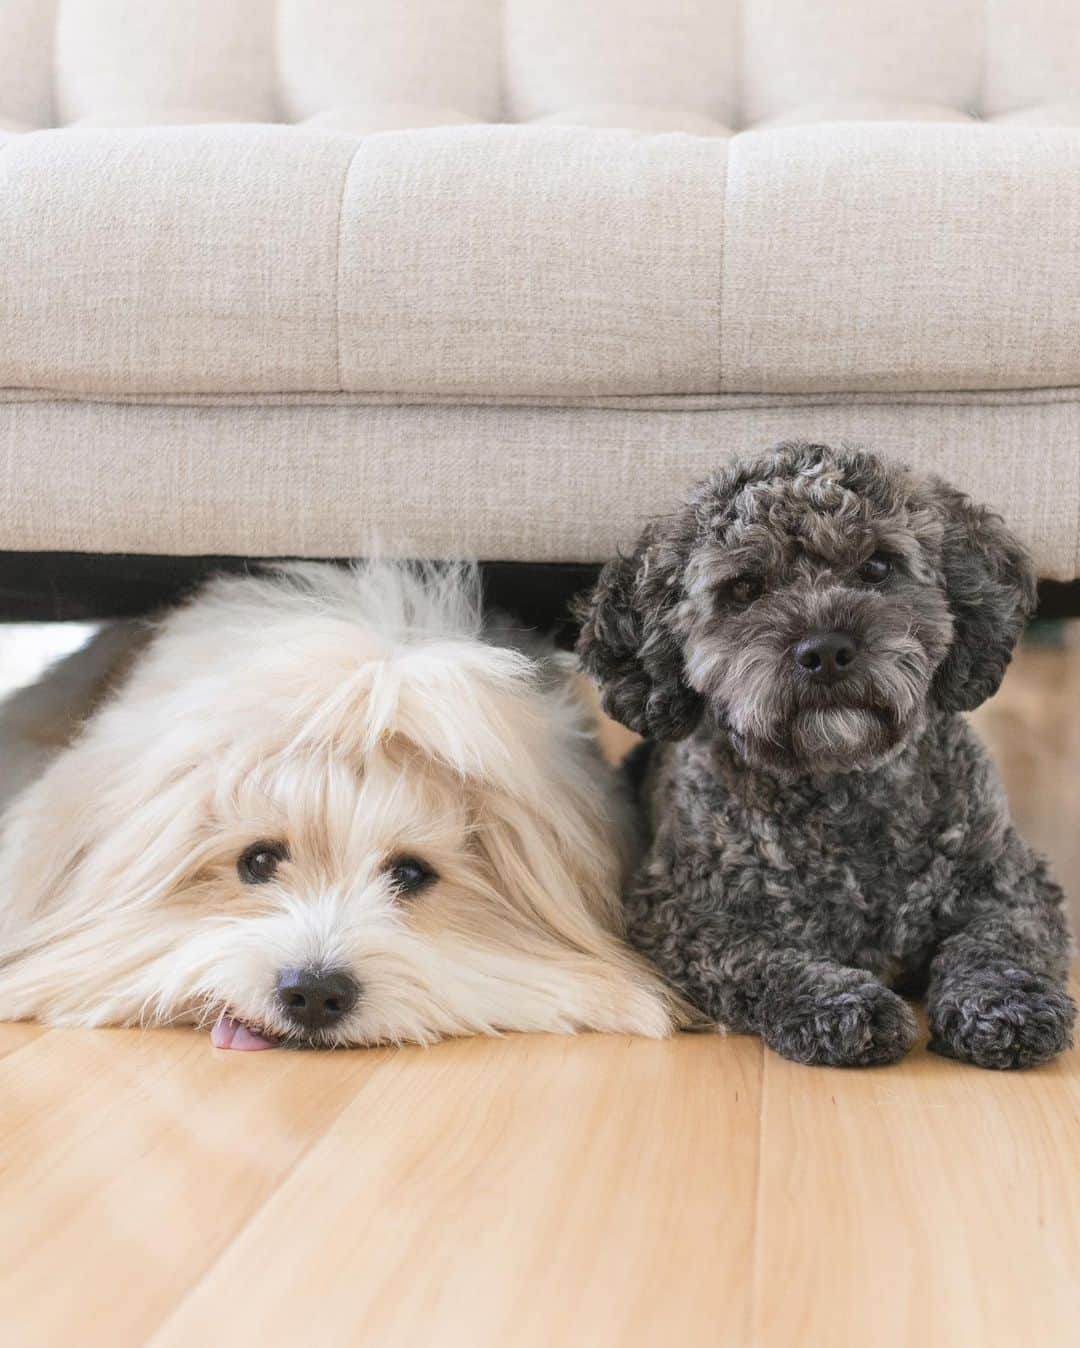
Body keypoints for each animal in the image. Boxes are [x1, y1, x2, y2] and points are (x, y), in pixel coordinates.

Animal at [582, 447, 1078, 1067]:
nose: (824, 650)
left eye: (878, 566)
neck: (841, 786)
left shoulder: (1014, 886)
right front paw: (841, 1005)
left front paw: (1004, 1004)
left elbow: (994, 942)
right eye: (744, 588)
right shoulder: (684, 918)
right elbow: (765, 959)